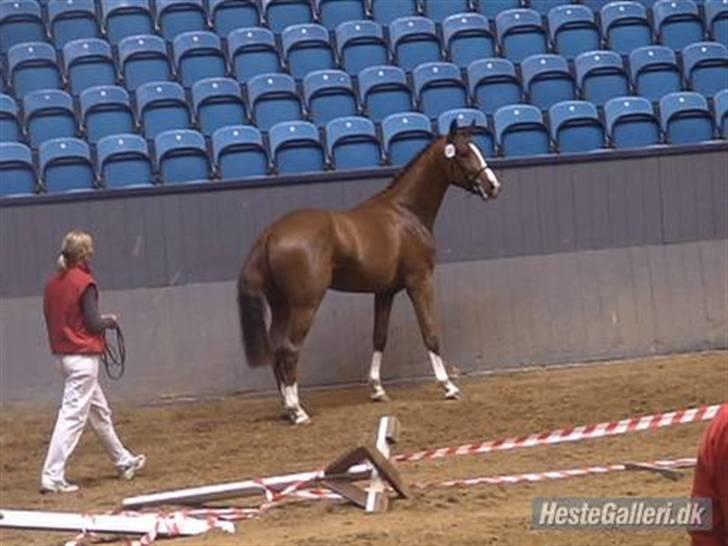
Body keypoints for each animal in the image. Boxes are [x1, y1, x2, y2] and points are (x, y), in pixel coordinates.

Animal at [239, 121, 500, 422]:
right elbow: (429, 331)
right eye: (463, 153)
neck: (405, 213)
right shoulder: (420, 282)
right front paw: (448, 386)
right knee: (290, 349)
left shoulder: (385, 292)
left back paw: (287, 407)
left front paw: (377, 389)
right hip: (305, 304)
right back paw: (297, 410)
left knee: (276, 346)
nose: (493, 186)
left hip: (282, 305)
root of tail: (271, 233)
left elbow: (379, 336)